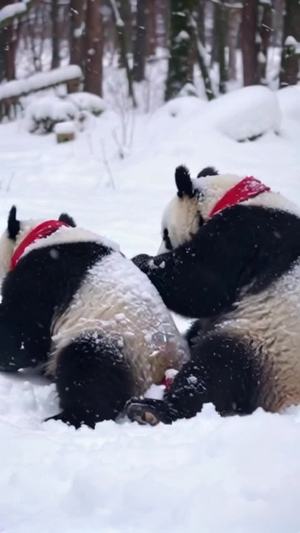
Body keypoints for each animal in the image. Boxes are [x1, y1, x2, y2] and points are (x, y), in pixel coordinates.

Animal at [0, 206, 188, 426]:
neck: (47, 235)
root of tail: (165, 370)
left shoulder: (41, 277)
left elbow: (22, 337)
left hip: (117, 342)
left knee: (88, 374)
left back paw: (66, 417)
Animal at [126, 165, 300, 424]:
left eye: (166, 235)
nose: (159, 252)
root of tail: (287, 403)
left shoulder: (245, 233)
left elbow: (201, 284)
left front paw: (142, 261)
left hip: (268, 345)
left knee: (214, 369)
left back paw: (152, 410)